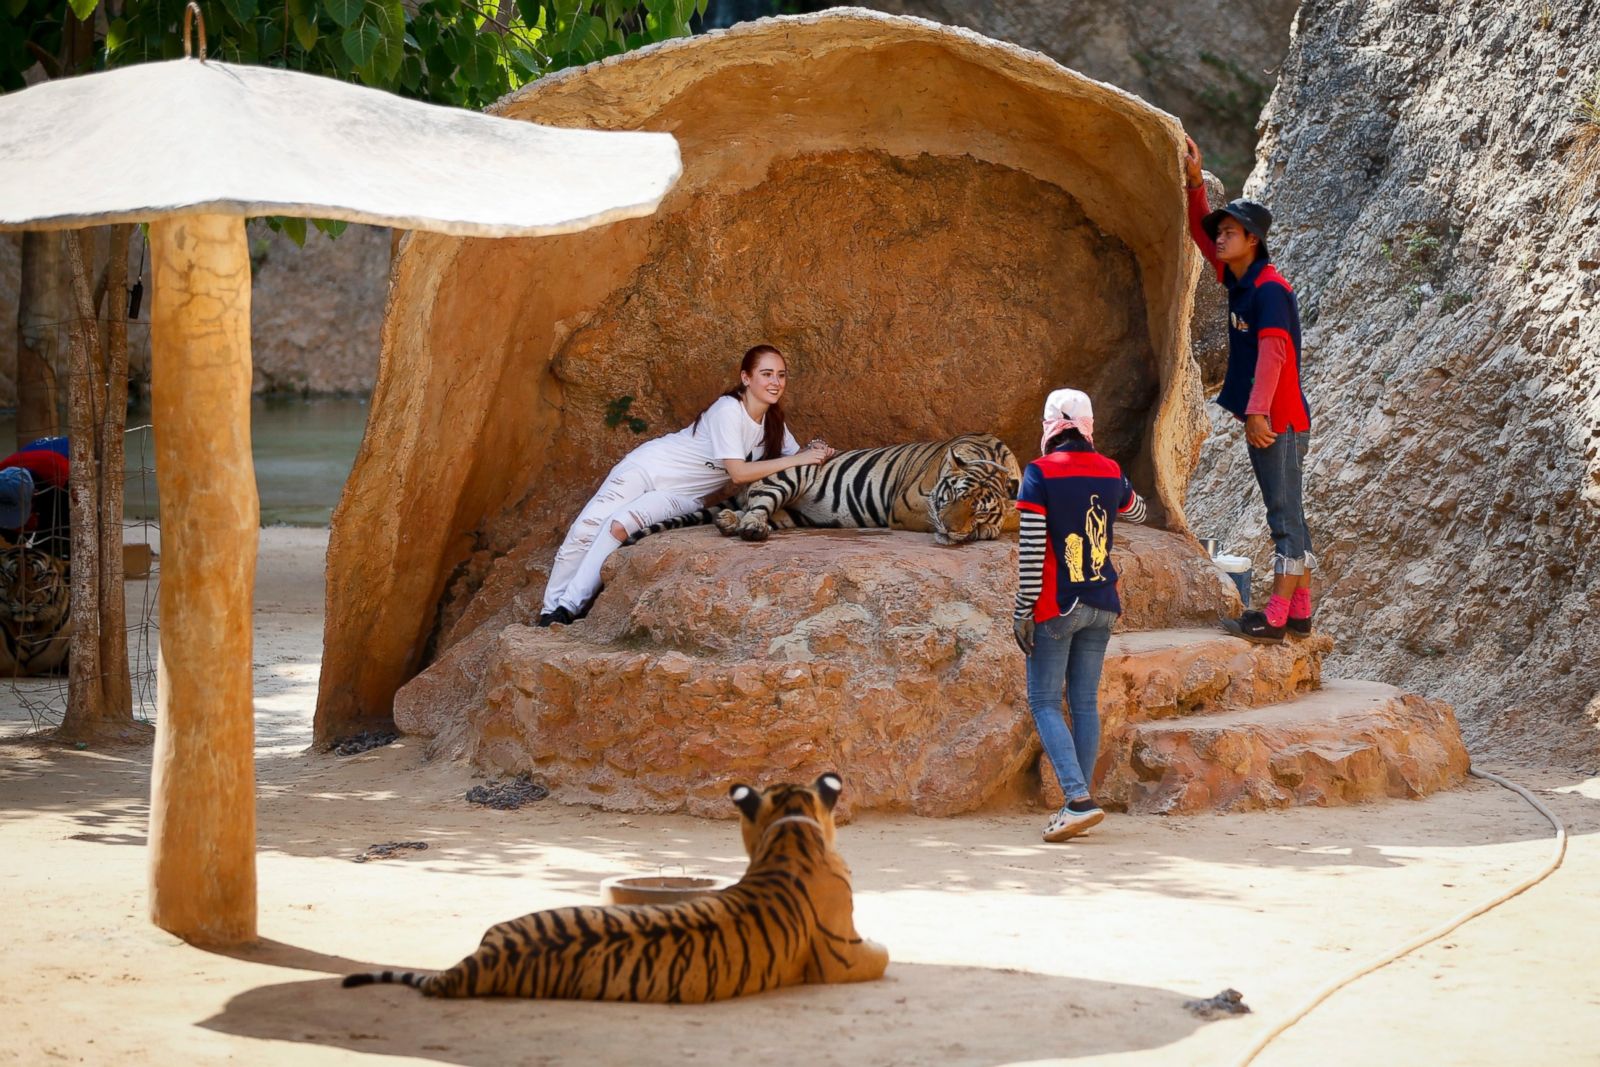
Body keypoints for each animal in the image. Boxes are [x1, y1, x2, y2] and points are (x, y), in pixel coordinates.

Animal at [627, 435, 1017, 550]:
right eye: (954, 497)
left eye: (978, 509)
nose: (952, 530)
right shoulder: (906, 505)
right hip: (788, 476)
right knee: (757, 506)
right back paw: (748, 529)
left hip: (792, 513)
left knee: (754, 510)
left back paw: (727, 520)